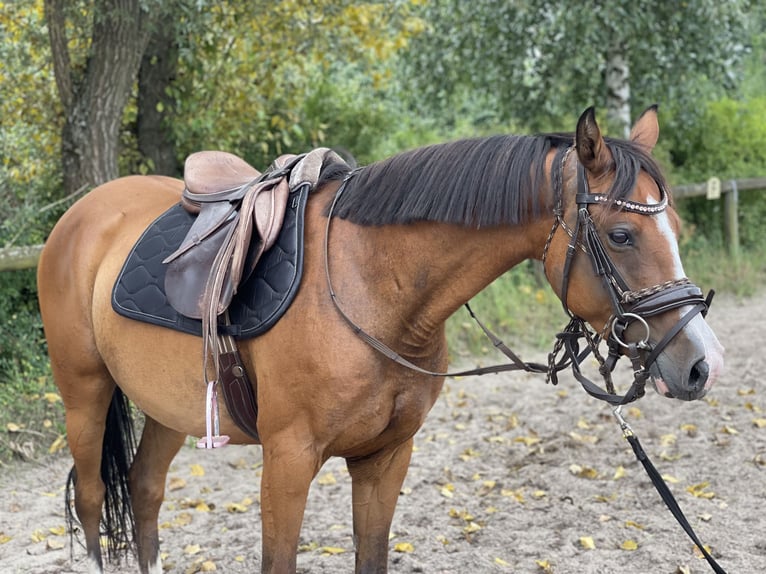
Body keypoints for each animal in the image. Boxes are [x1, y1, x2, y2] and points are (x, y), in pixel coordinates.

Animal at [36, 106, 728, 572]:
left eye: (674, 225)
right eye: (621, 235)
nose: (703, 364)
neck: (372, 287)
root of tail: (82, 215)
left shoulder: (385, 457)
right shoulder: (288, 461)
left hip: (169, 409)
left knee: (146, 493)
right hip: (84, 394)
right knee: (94, 501)